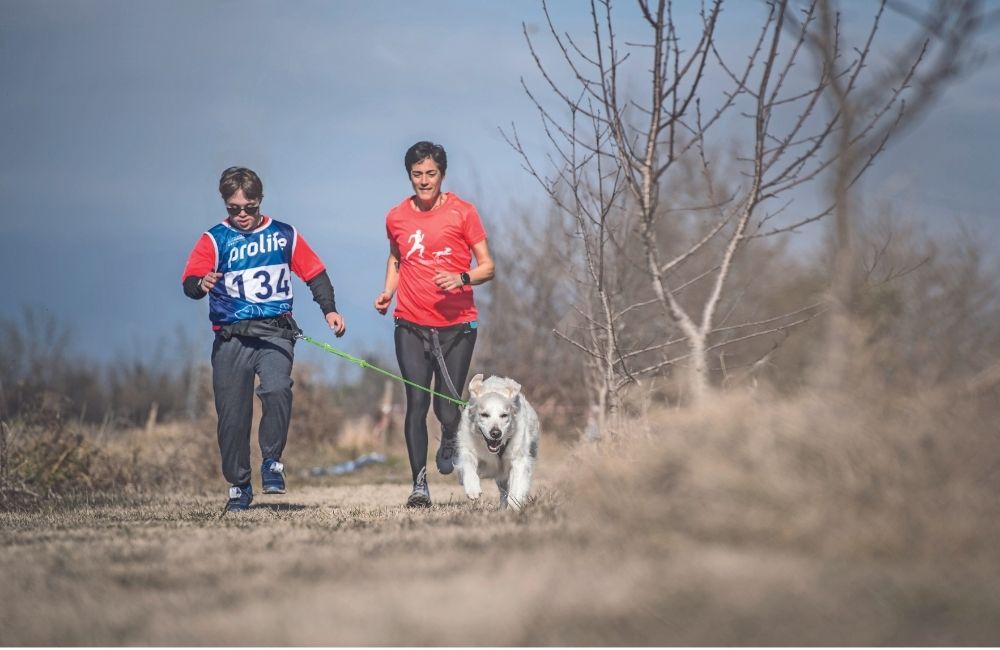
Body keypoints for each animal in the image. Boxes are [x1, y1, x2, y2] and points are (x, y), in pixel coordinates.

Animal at [458, 372, 544, 508]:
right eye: (484, 414)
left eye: (504, 415)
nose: (495, 433)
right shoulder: (468, 447)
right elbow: (468, 463)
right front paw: (472, 488)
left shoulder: (519, 459)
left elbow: (516, 487)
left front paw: (515, 504)